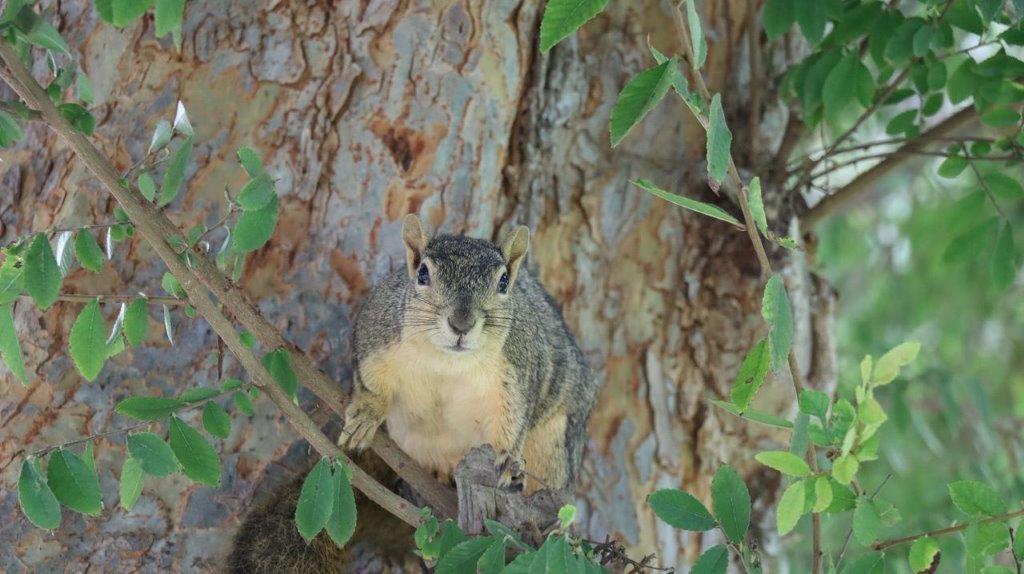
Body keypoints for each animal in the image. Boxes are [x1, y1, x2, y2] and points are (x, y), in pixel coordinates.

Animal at [228, 214, 598, 568]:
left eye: (504, 281)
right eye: (422, 273)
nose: (461, 323)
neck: (448, 362)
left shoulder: (520, 375)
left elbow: (512, 423)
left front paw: (505, 459)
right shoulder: (375, 333)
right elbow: (368, 379)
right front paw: (367, 412)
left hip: (554, 449)